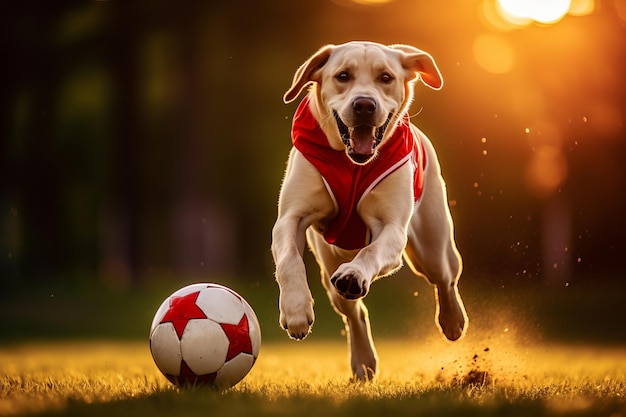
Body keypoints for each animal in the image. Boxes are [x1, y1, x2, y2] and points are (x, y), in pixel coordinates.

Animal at [270, 42, 466, 380]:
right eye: (343, 76)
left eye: (385, 77)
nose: (364, 104)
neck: (352, 166)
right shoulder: (290, 218)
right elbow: (289, 259)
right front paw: (295, 310)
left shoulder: (392, 228)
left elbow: (371, 251)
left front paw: (355, 274)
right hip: (328, 265)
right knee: (354, 312)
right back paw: (363, 361)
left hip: (432, 244)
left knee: (445, 277)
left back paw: (453, 321)